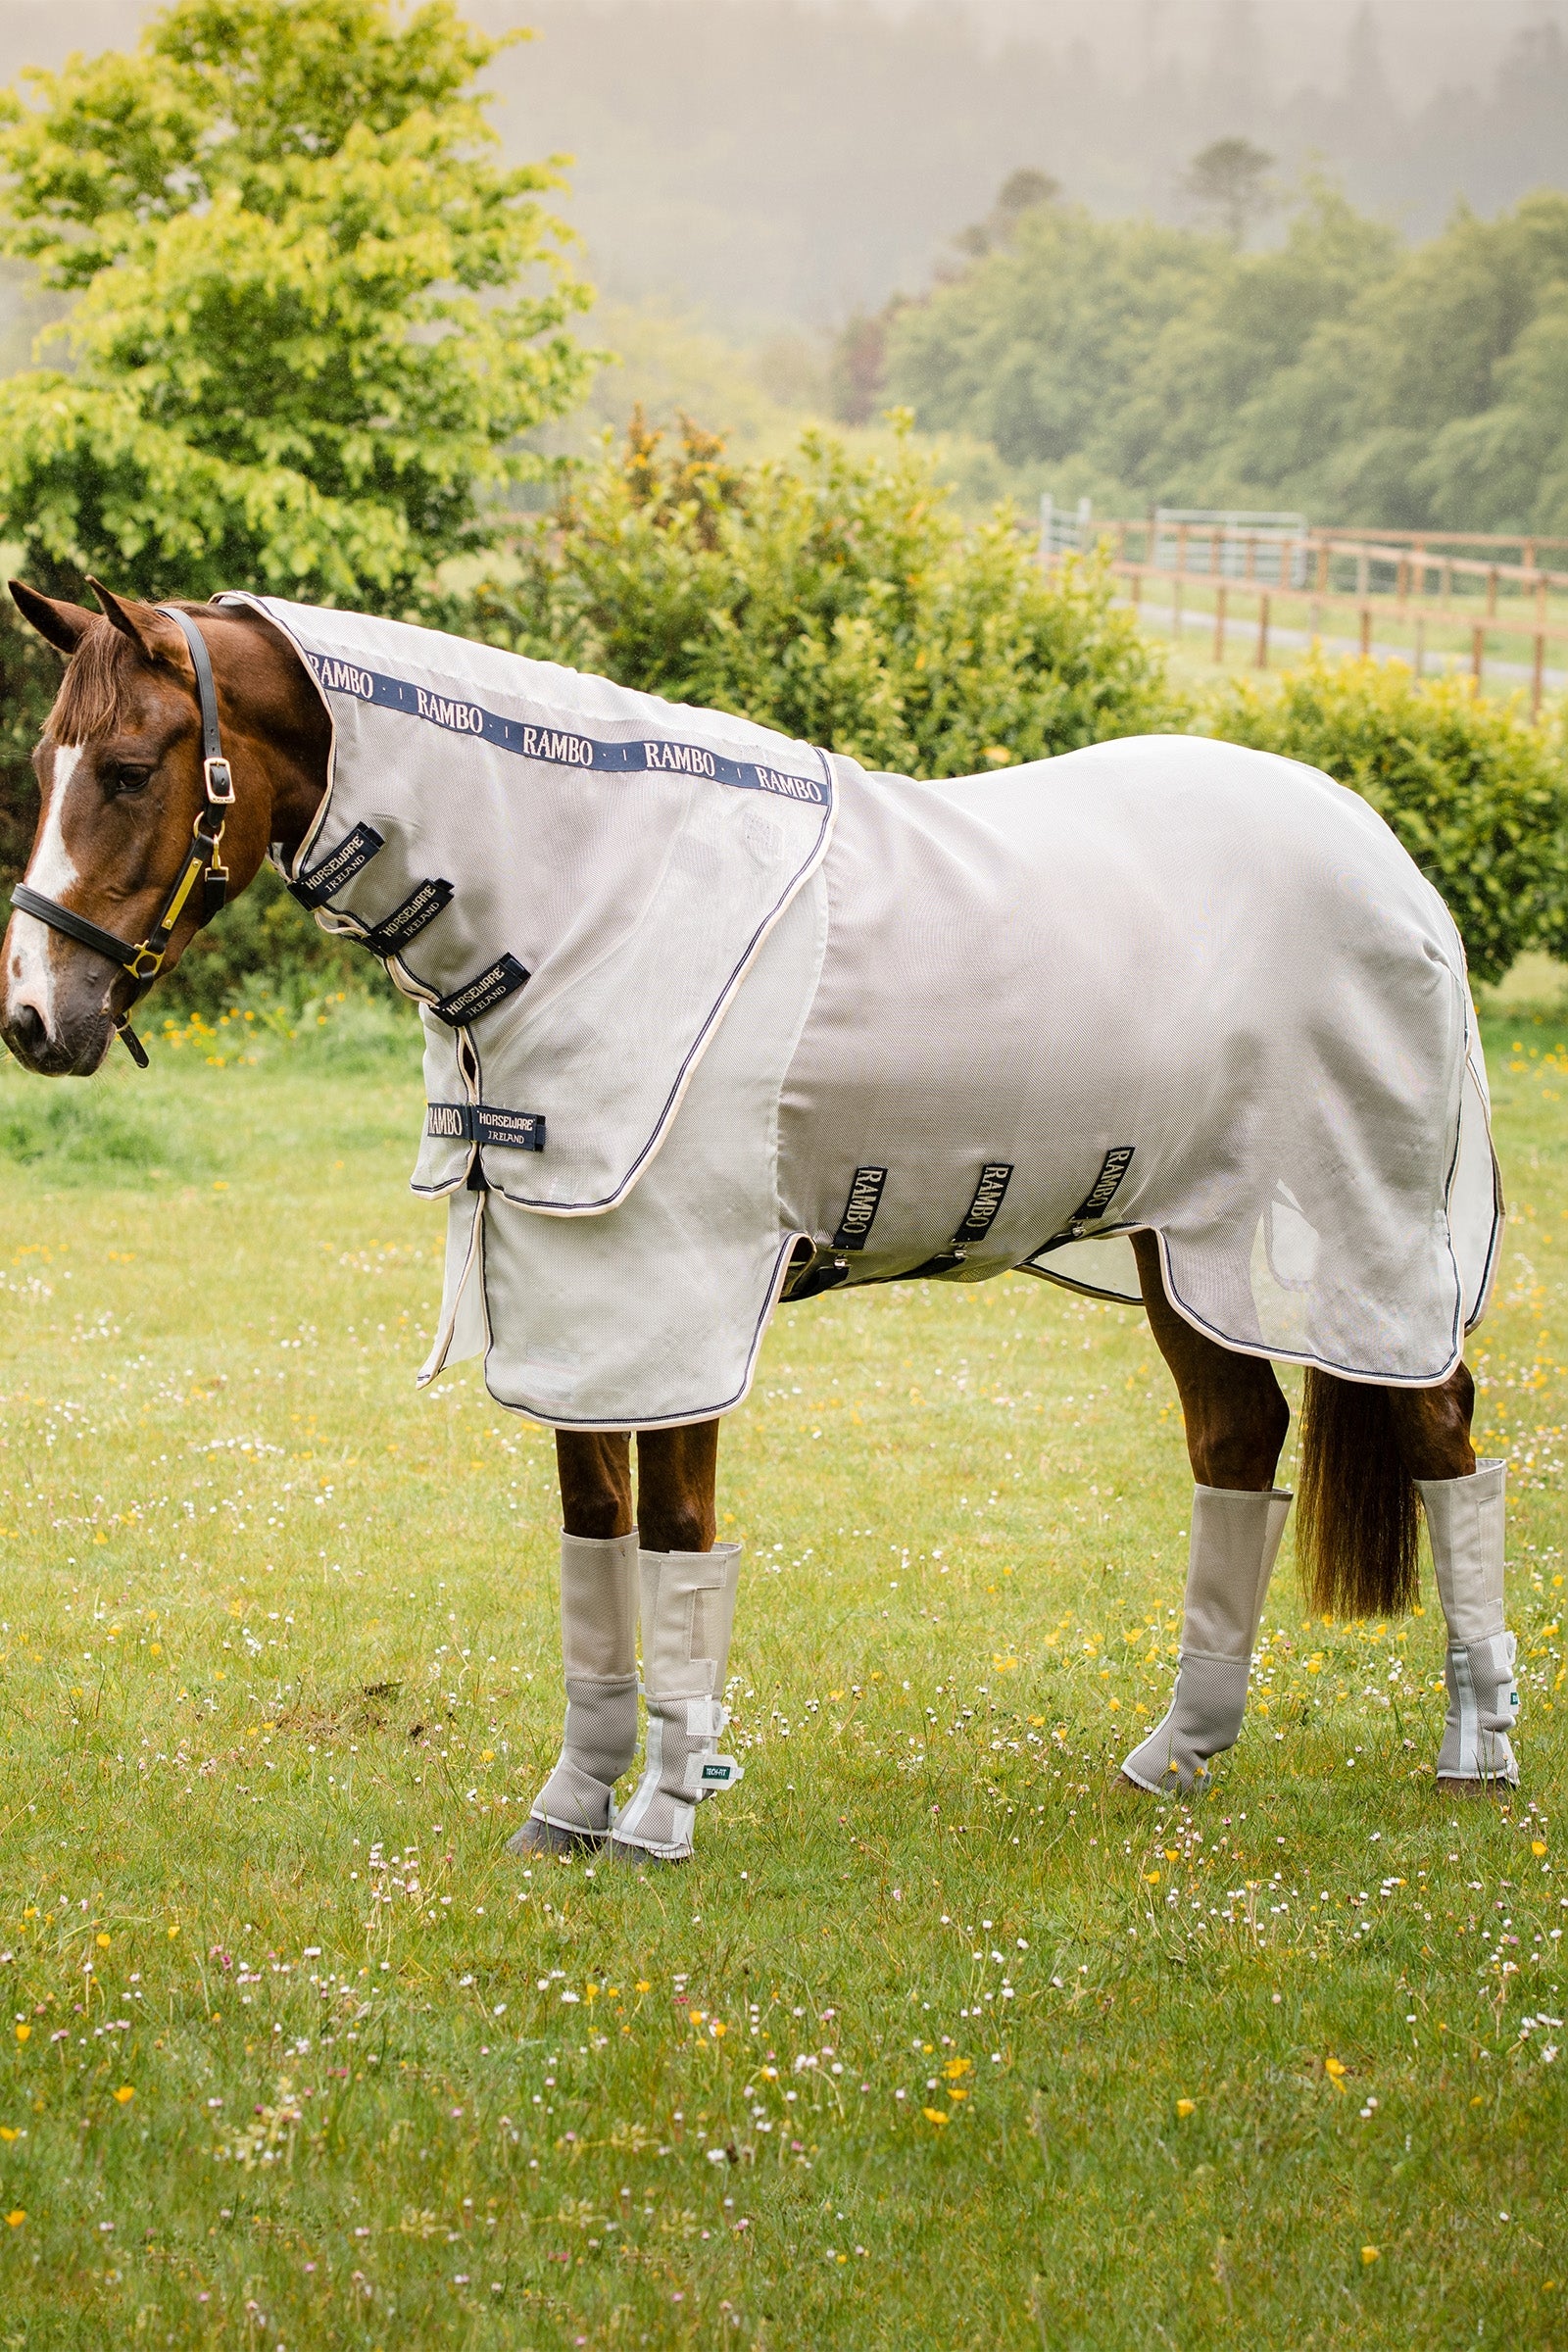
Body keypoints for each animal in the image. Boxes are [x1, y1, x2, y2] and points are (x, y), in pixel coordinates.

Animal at [0, 580, 1520, 1867]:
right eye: (45, 767)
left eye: (127, 770)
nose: (32, 1017)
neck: (587, 898)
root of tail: (1386, 861)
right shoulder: (579, 1305)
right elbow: (595, 1540)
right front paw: (572, 1808)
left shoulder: (680, 1301)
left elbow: (678, 1540)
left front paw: (661, 1819)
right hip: (1179, 1241)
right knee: (1239, 1442)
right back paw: (1177, 1756)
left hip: (1370, 1229)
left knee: (1442, 1435)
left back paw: (1475, 1757)